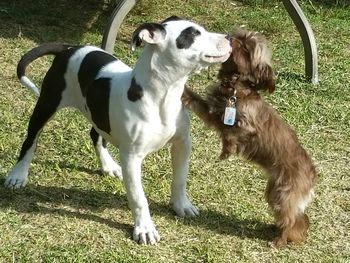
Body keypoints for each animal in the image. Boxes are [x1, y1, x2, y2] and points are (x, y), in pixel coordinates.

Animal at [4, 17, 232, 245]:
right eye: (193, 34)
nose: (229, 37)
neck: (162, 95)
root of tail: (69, 48)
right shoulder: (131, 157)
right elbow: (139, 197)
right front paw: (145, 228)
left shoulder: (182, 143)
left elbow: (180, 179)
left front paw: (181, 206)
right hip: (47, 103)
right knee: (30, 140)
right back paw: (18, 175)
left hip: (96, 113)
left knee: (95, 135)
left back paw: (108, 166)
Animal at [183, 29, 318, 249]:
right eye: (236, 35)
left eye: (246, 48)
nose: (229, 38)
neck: (235, 91)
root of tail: (312, 174)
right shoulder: (212, 111)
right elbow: (196, 100)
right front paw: (183, 91)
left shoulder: (244, 126)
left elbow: (229, 133)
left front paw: (226, 151)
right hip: (273, 191)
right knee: (293, 218)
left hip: (285, 194)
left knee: (291, 219)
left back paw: (279, 240)